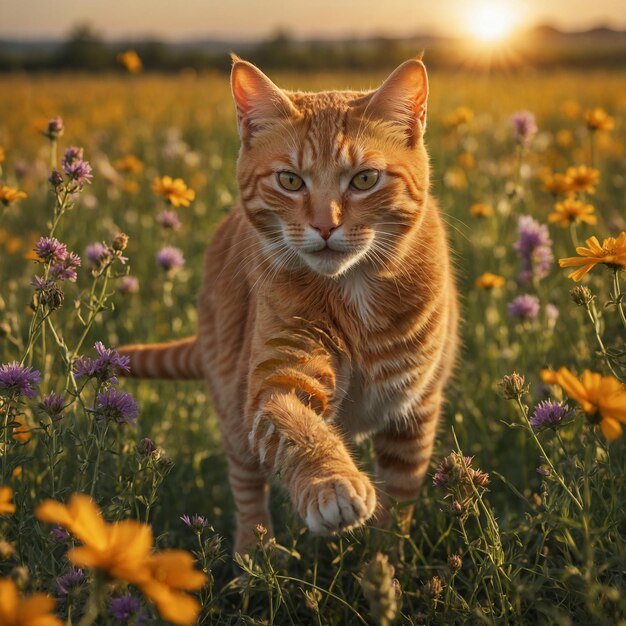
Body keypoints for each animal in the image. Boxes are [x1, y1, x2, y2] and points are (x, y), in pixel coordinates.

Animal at [118, 56, 458, 548]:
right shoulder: (279, 376)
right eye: (290, 180)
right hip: (233, 407)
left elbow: (395, 516)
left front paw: (384, 563)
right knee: (247, 490)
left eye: (365, 179)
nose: (325, 226)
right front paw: (331, 483)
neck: (353, 291)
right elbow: (298, 428)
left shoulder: (414, 415)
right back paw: (254, 557)